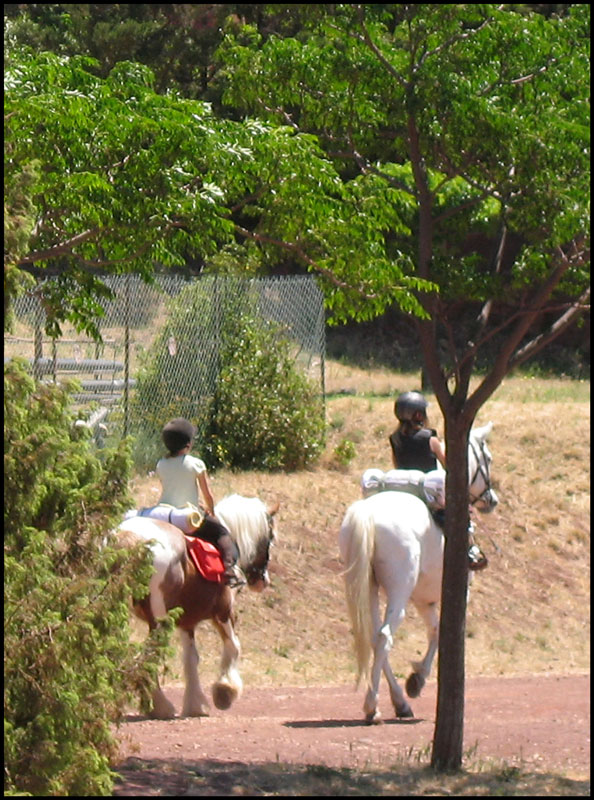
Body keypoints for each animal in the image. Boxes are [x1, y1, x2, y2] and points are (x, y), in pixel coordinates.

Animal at [115, 494, 278, 720]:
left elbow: (190, 659)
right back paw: (160, 706)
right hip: (159, 620)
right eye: (271, 537)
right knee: (148, 655)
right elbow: (234, 646)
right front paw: (225, 692)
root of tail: (131, 539)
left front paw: (195, 705)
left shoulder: (187, 623)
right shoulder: (223, 612)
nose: (263, 581)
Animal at [338, 424, 494, 724]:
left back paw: (398, 703)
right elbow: (442, 632)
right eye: (488, 459)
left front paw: (413, 681)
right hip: (399, 591)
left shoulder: (424, 600)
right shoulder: (456, 594)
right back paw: (372, 706)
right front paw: (417, 679)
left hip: (368, 587)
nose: (492, 500)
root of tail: (367, 513)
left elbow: (435, 630)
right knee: (385, 635)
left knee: (375, 636)